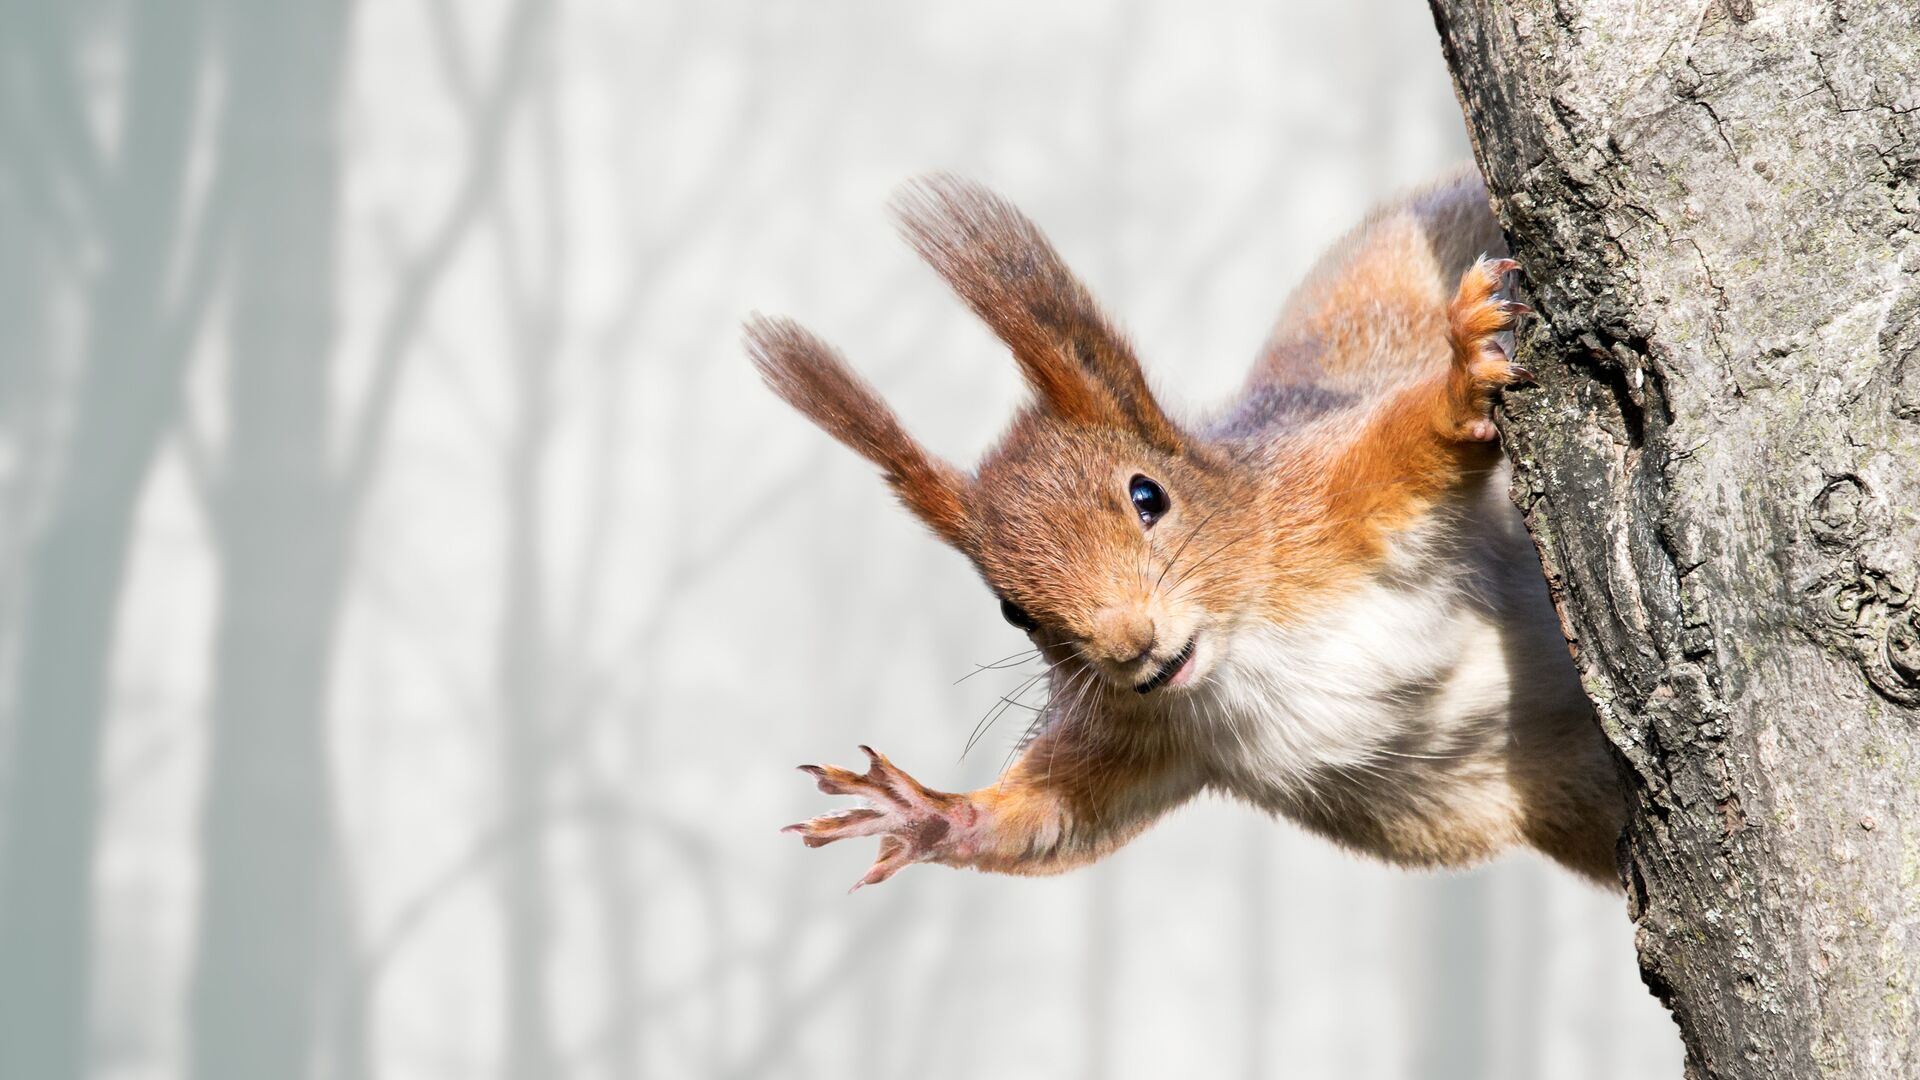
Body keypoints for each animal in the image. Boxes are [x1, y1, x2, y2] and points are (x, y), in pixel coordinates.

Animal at [741, 168, 1628, 887]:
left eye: (1148, 496)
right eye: (1011, 611)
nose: (1130, 646)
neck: (1243, 650)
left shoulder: (1322, 502)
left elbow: (1408, 444)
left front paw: (1460, 379)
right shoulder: (1142, 732)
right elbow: (1056, 818)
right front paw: (927, 813)